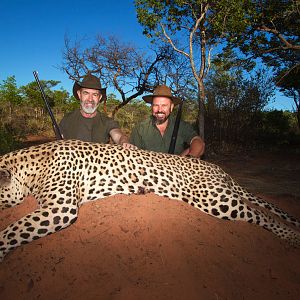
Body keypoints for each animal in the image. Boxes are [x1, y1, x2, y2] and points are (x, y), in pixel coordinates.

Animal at [0, 138, 300, 260]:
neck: (30, 165)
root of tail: (218, 168)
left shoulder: (60, 208)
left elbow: (11, 230)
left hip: (214, 199)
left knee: (260, 214)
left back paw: (292, 237)